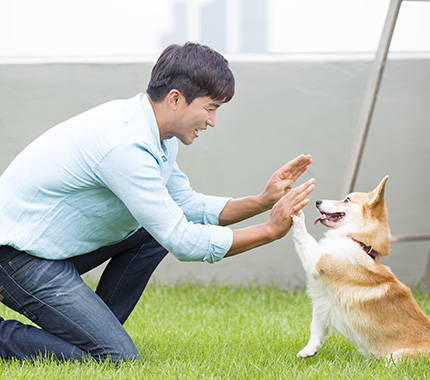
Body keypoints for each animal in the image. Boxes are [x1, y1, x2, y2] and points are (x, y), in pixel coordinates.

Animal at [290, 177, 430, 360]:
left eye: (347, 199)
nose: (317, 201)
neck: (359, 242)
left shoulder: (318, 259)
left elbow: (305, 237)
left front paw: (298, 215)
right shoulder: (324, 301)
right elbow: (316, 328)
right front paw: (309, 350)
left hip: (397, 357)